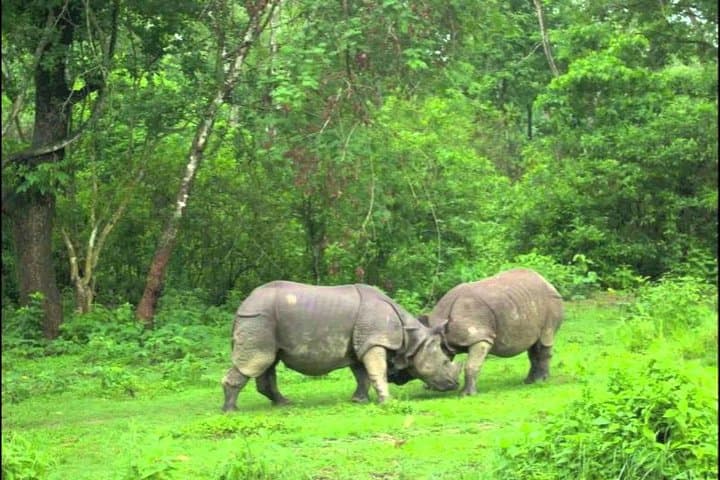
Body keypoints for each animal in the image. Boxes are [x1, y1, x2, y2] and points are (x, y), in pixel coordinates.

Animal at [221, 281, 461, 411]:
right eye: (444, 361)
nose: (454, 384)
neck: (413, 340)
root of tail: (243, 305)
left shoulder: (361, 345)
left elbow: (363, 375)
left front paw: (359, 400)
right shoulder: (374, 341)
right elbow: (377, 372)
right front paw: (387, 402)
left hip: (261, 319)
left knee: (268, 362)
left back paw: (284, 403)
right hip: (257, 318)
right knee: (257, 361)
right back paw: (231, 410)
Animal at [407, 268, 564, 396]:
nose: (429, 388)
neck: (444, 330)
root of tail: (546, 281)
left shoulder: (480, 337)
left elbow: (471, 365)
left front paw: (467, 394)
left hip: (551, 301)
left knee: (545, 338)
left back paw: (541, 381)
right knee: (533, 345)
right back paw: (529, 381)